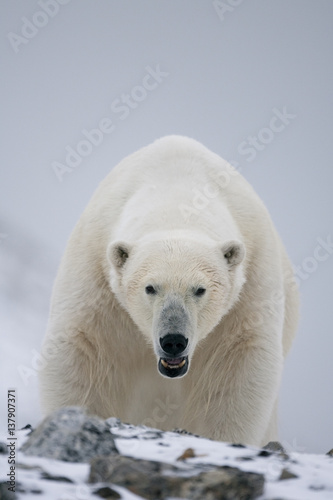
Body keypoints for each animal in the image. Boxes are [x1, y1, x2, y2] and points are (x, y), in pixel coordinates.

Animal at [39, 135, 298, 444]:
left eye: (200, 290)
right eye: (150, 288)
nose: (173, 340)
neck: (177, 195)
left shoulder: (251, 286)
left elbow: (239, 364)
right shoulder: (95, 272)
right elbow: (80, 349)